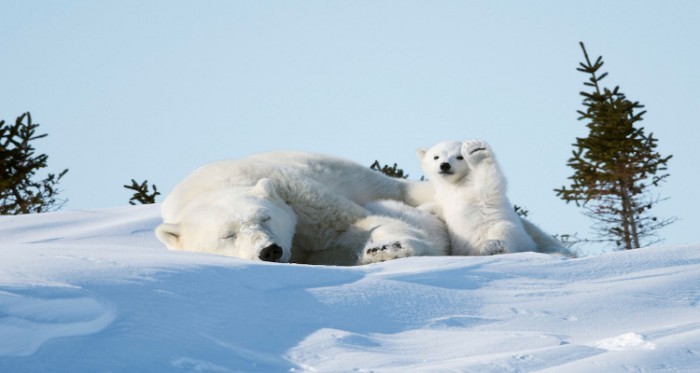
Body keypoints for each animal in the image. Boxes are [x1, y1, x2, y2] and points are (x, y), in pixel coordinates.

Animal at [156, 151, 446, 264]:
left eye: (266, 217)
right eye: (228, 235)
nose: (270, 251)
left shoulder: (295, 194)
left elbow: (352, 223)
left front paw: (388, 248)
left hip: (369, 180)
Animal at [418, 140, 572, 256]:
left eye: (459, 157)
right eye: (436, 157)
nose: (445, 165)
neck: (456, 184)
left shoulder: (476, 192)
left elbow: (488, 183)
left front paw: (476, 151)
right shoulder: (444, 197)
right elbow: (439, 208)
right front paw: (423, 209)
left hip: (515, 235)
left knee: (504, 230)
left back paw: (494, 247)